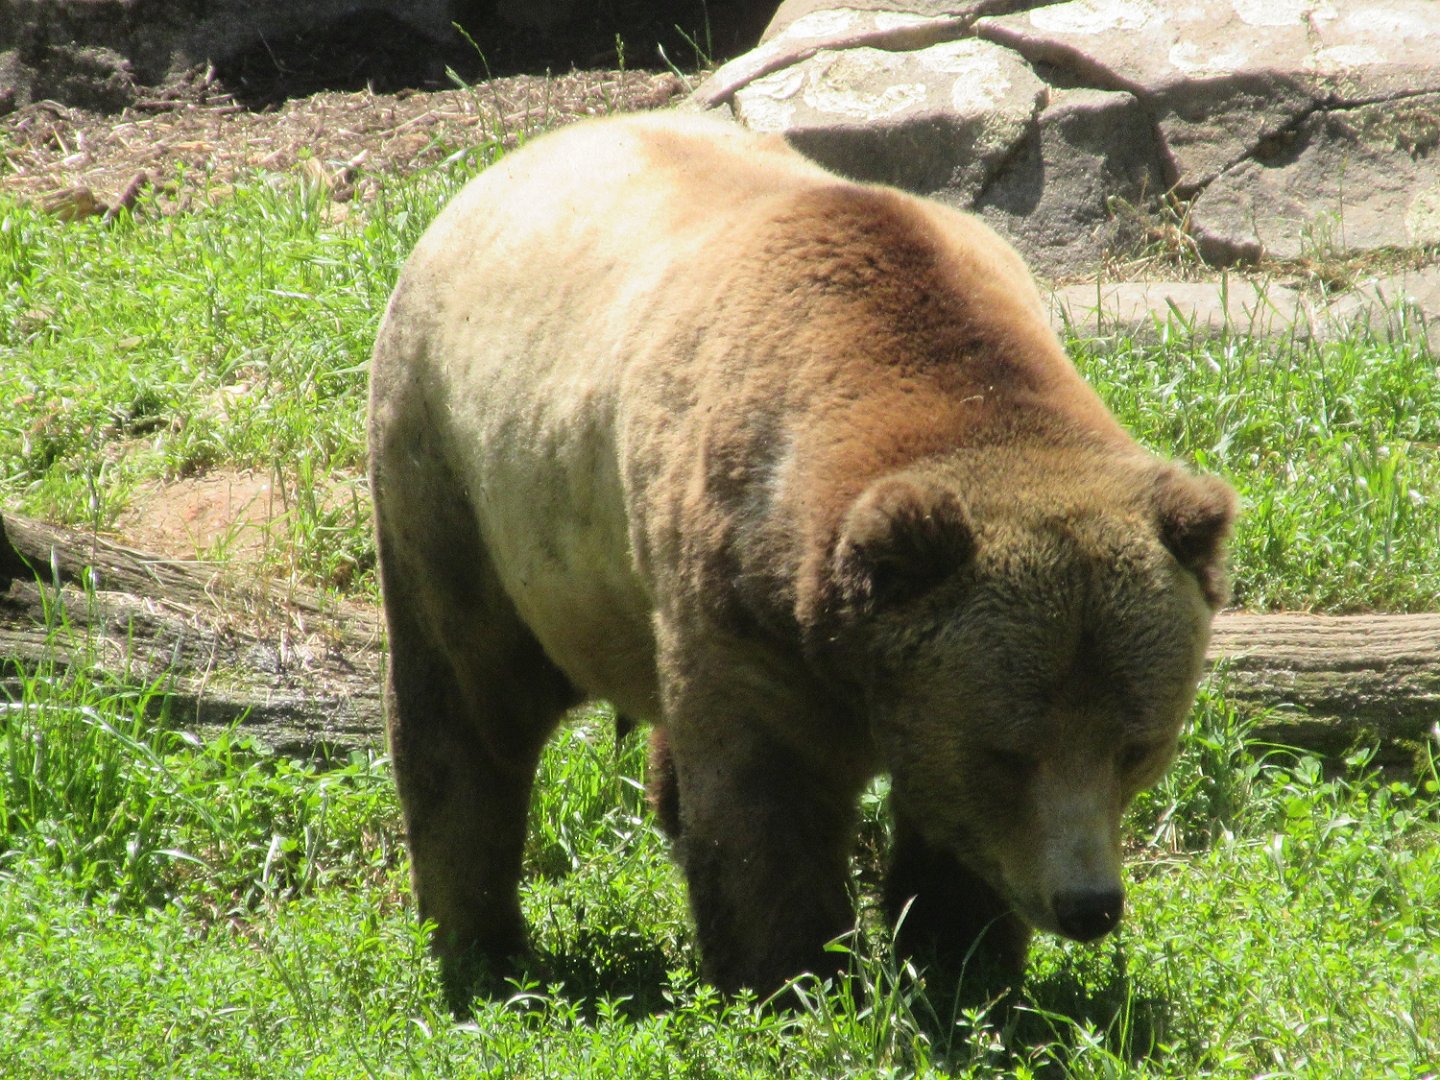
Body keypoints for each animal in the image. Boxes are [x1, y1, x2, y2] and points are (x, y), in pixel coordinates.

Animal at [366, 110, 1235, 997]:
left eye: (1138, 745)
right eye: (1008, 751)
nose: (1089, 904)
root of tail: (497, 169)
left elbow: (951, 843)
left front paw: (963, 972)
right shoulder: (745, 591)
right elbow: (766, 804)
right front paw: (795, 978)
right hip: (463, 479)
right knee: (463, 705)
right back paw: (482, 946)